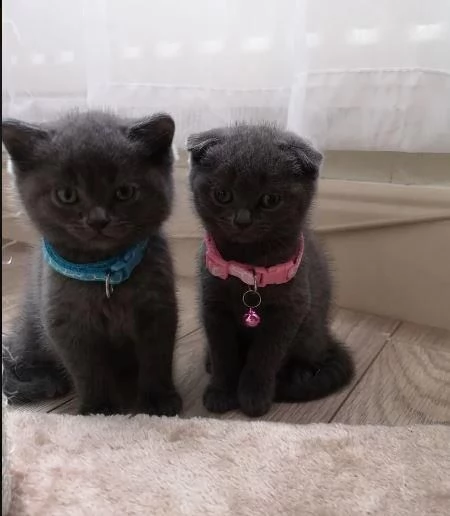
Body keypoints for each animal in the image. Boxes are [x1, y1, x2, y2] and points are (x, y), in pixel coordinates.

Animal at [2, 110, 181, 416]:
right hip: (31, 326)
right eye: (66, 195)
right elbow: (87, 369)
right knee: (18, 357)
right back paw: (47, 382)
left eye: (124, 192)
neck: (104, 270)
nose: (98, 220)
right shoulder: (66, 321)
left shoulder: (157, 309)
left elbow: (156, 358)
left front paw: (159, 400)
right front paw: (100, 408)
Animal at [187, 125, 356, 420]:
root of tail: (326, 335)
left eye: (270, 199)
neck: (248, 269)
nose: (242, 219)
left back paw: (300, 374)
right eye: (222, 194)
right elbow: (223, 353)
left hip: (309, 331)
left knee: (310, 354)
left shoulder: (289, 310)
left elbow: (265, 355)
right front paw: (221, 392)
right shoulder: (213, 306)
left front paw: (254, 396)